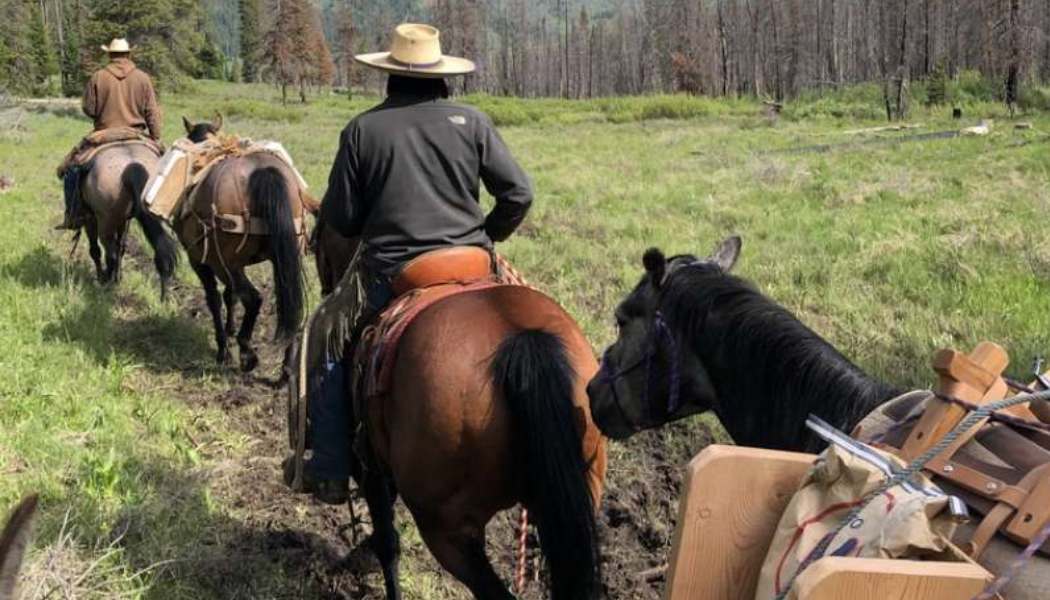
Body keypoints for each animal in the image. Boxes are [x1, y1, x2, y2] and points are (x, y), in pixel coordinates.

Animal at [78, 141, 178, 300]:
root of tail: (132, 164)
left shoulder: (90, 218)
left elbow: (95, 250)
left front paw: (101, 278)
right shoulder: (124, 220)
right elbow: (122, 247)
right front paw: (118, 277)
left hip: (105, 222)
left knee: (110, 254)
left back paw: (107, 281)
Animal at [174, 116, 306, 371]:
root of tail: (263, 171)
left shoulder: (201, 261)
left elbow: (214, 299)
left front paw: (223, 349)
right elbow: (230, 295)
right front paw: (229, 329)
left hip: (224, 263)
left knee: (253, 299)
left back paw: (247, 353)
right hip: (282, 257)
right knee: (291, 306)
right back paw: (286, 368)